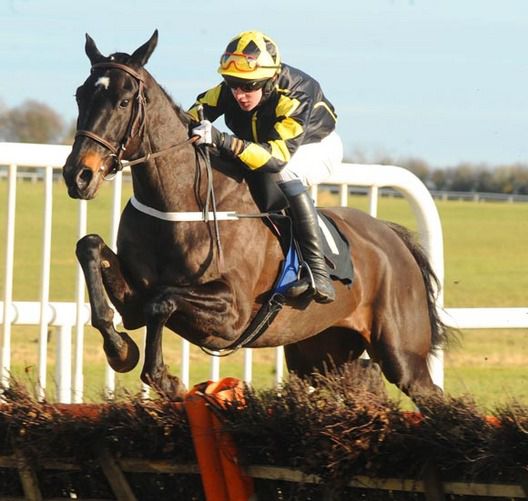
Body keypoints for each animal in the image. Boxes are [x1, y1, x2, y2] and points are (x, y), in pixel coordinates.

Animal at [62, 31, 447, 401]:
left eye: (124, 101)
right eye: (80, 95)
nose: (78, 175)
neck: (180, 202)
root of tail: (393, 237)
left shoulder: (233, 313)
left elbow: (162, 302)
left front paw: (164, 379)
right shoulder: (134, 298)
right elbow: (90, 247)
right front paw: (119, 348)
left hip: (401, 354)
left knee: (431, 393)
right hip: (322, 353)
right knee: (364, 381)